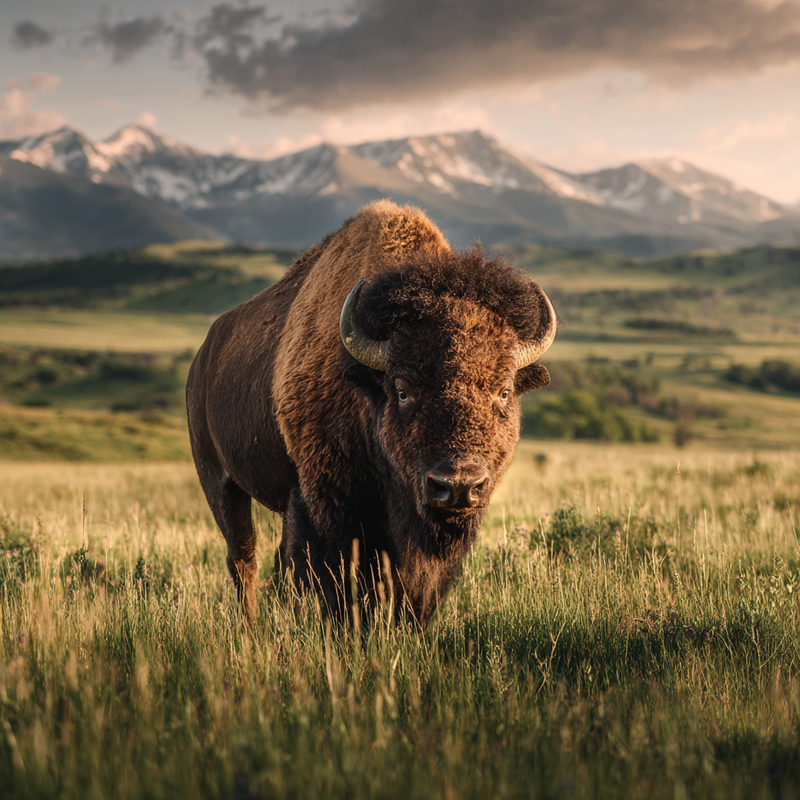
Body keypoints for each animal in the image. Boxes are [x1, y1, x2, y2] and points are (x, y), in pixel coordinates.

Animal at [186, 201, 556, 626]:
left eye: (504, 391)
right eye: (402, 390)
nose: (458, 485)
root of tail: (201, 359)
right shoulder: (326, 504)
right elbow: (334, 584)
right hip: (220, 483)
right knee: (243, 560)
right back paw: (250, 629)